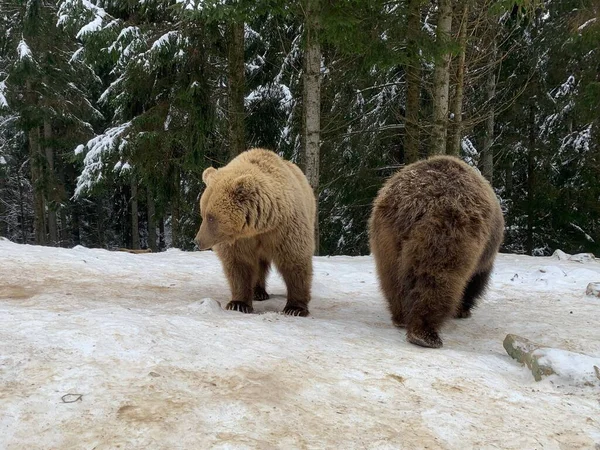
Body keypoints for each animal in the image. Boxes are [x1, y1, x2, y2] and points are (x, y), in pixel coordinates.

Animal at [196, 148, 318, 316]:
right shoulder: (240, 241)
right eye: (203, 213)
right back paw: (258, 291)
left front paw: (295, 308)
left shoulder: (284, 229)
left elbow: (294, 260)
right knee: (259, 264)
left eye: (211, 217)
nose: (197, 241)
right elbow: (239, 265)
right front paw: (238, 303)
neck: (258, 227)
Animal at [368, 156, 504, 350]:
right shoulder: (484, 256)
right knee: (436, 279)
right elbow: (475, 281)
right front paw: (463, 309)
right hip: (447, 230)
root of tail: (411, 201)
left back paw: (400, 316)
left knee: (391, 278)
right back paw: (425, 334)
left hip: (386, 236)